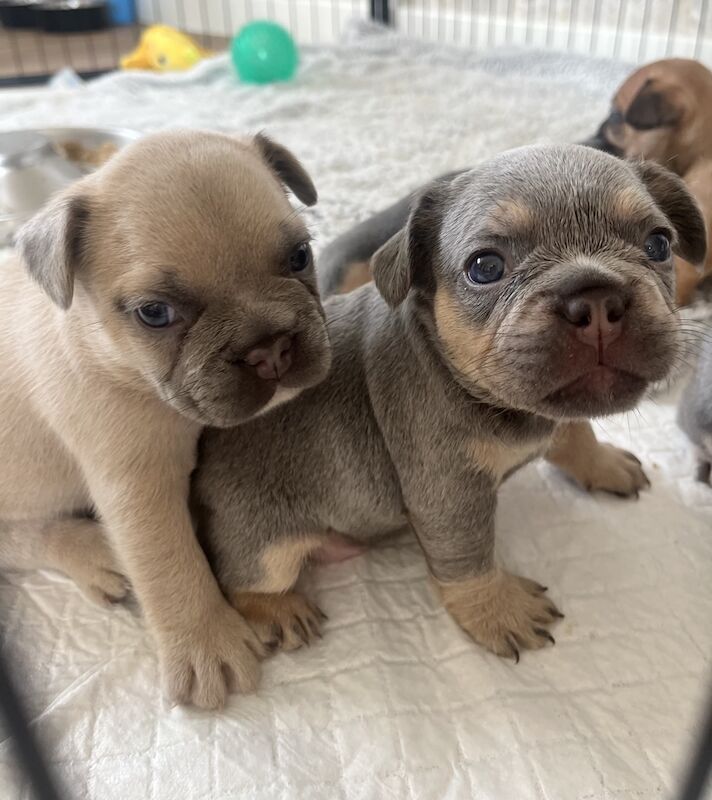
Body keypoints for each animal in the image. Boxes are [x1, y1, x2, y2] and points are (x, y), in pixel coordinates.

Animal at [0, 130, 330, 708]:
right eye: (155, 314)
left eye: (300, 256)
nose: (269, 349)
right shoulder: (139, 483)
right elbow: (169, 560)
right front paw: (205, 642)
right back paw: (93, 552)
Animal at [193, 144, 708, 664]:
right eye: (485, 267)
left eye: (659, 244)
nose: (596, 299)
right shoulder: (451, 495)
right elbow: (468, 561)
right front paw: (498, 610)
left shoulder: (556, 409)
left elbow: (576, 430)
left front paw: (601, 463)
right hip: (266, 548)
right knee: (242, 583)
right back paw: (280, 609)